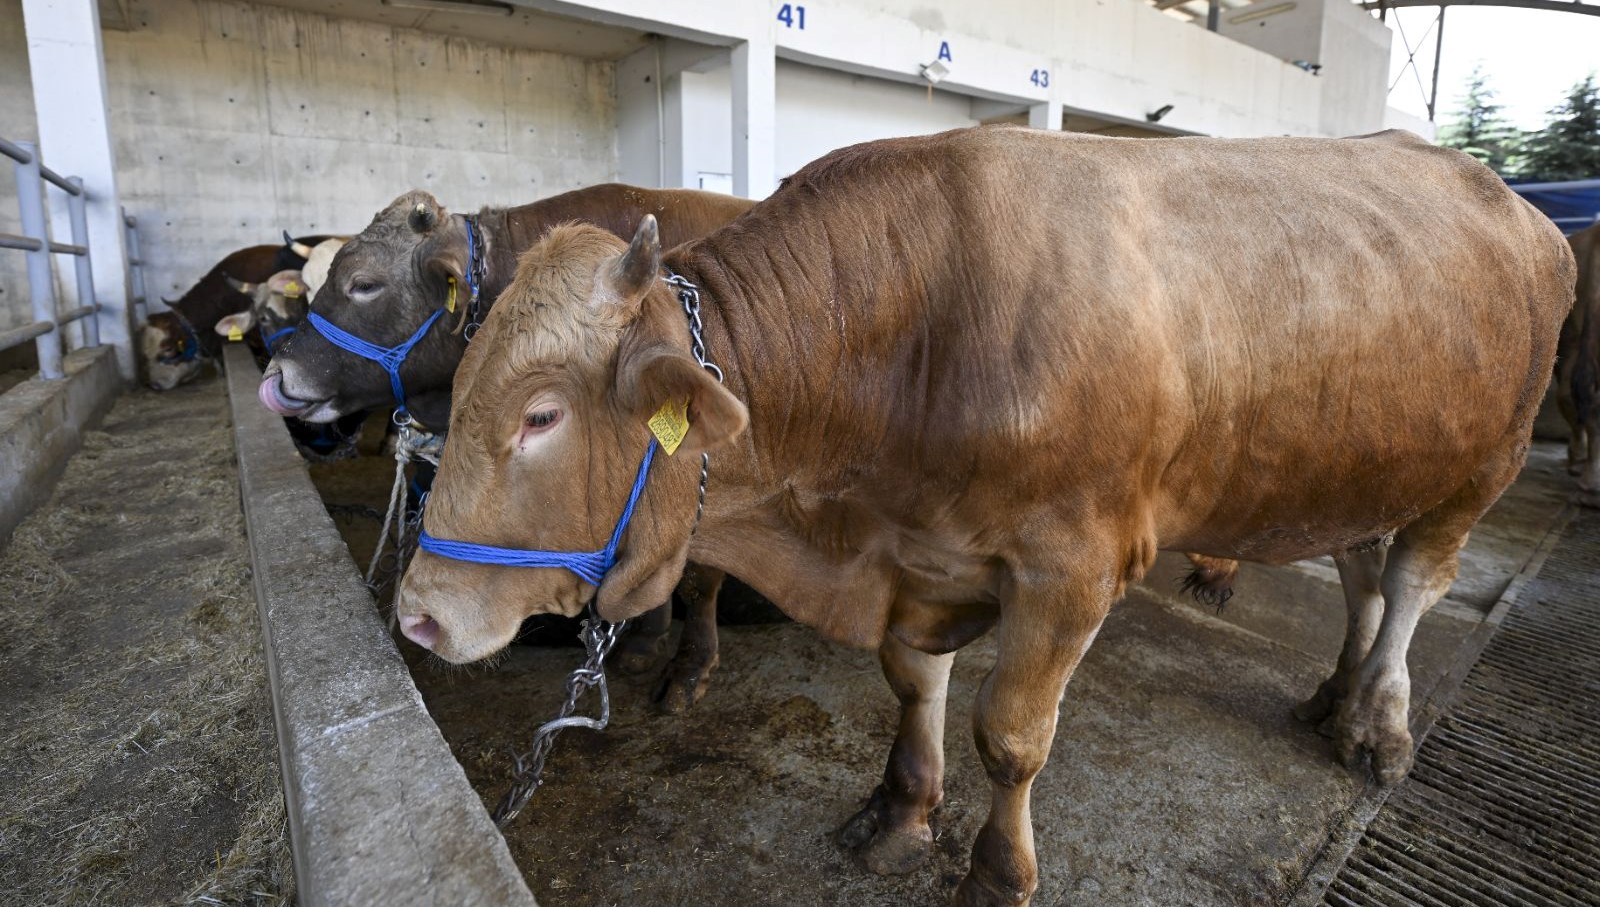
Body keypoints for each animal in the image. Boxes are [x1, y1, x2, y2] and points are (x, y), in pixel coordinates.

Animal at [393, 129, 1568, 907]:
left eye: (542, 414)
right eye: (463, 382)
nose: (417, 613)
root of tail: (1519, 208)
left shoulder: (1071, 567)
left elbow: (1009, 736)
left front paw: (999, 873)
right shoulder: (921, 555)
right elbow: (914, 687)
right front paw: (900, 813)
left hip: (1482, 466)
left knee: (1412, 584)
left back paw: (1379, 723)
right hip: (1364, 464)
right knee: (1364, 573)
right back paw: (1335, 694)